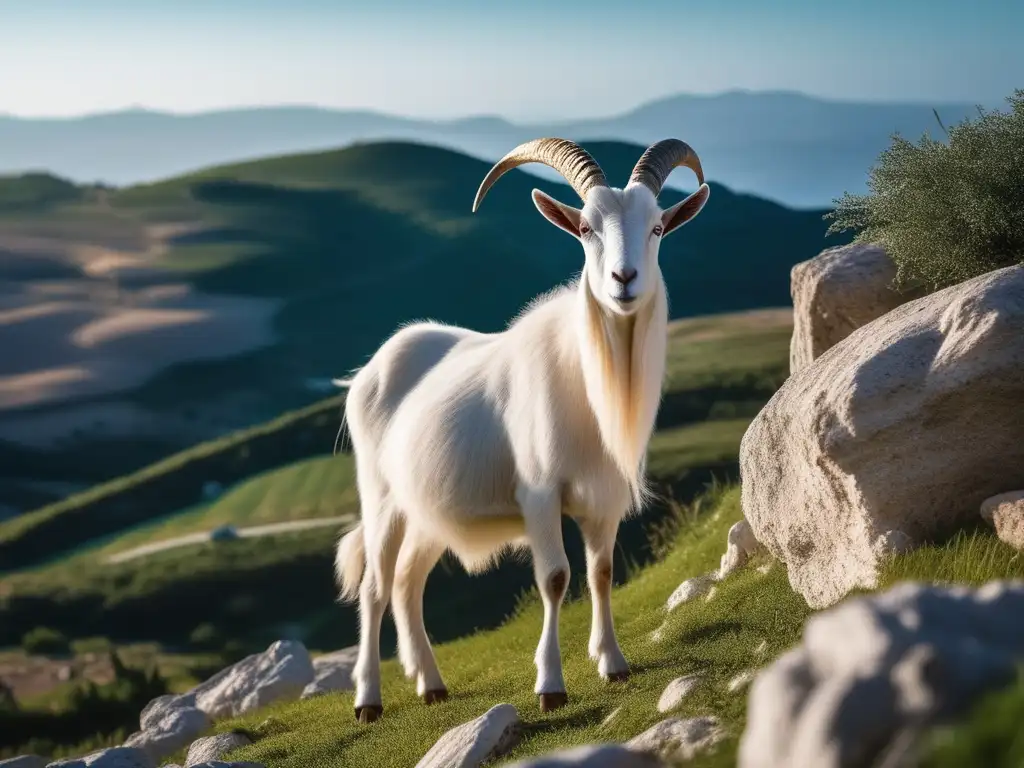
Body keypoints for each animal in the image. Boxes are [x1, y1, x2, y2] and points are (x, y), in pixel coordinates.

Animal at [331, 137, 708, 720]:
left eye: (657, 228)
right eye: (585, 228)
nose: (624, 281)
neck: (587, 381)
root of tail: (368, 373)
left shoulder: (604, 498)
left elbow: (601, 572)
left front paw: (614, 663)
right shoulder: (539, 494)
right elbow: (555, 579)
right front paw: (551, 686)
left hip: (427, 511)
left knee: (407, 582)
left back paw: (431, 684)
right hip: (382, 499)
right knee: (375, 586)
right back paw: (368, 700)